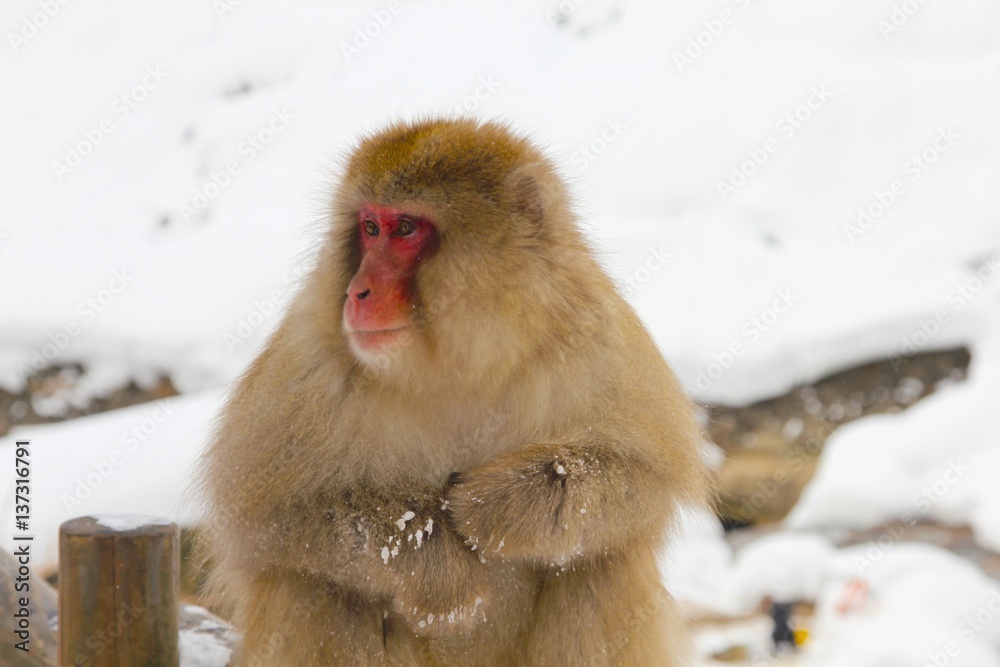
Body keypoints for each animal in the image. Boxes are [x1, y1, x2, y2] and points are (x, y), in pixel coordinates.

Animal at [200, 118, 709, 666]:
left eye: (405, 229)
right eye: (370, 228)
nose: (357, 291)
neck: (458, 361)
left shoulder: (594, 335)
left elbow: (645, 483)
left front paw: (501, 504)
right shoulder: (309, 361)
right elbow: (264, 521)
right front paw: (429, 554)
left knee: (596, 560)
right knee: (322, 587)